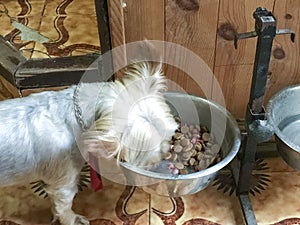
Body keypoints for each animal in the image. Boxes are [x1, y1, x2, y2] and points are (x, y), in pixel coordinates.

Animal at [0, 61, 178, 225]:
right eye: (151, 158)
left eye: (171, 134)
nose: (168, 153)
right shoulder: (64, 182)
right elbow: (63, 206)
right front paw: (73, 220)